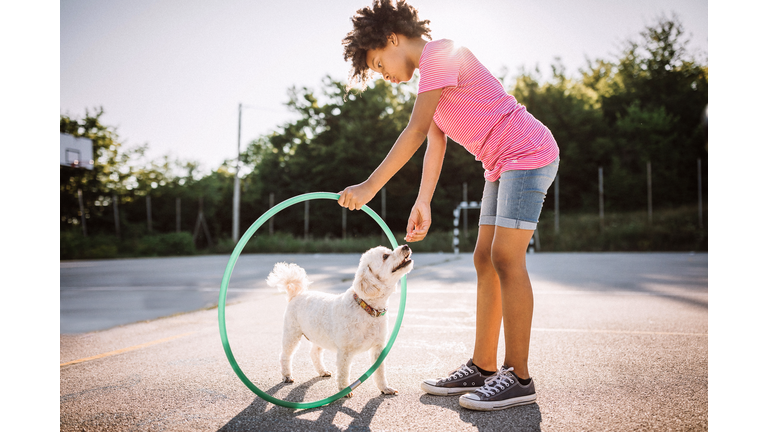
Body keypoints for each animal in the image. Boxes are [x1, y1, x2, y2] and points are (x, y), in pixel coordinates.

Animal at [268, 245, 414, 396]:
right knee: (285, 355)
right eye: (385, 256)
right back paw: (286, 376)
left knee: (314, 353)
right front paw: (344, 390)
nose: (406, 246)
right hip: (292, 334)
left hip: (319, 336)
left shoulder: (378, 348)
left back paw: (322, 371)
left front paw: (385, 388)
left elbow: (380, 372)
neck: (367, 308)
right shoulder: (345, 351)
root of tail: (295, 295)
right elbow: (343, 372)